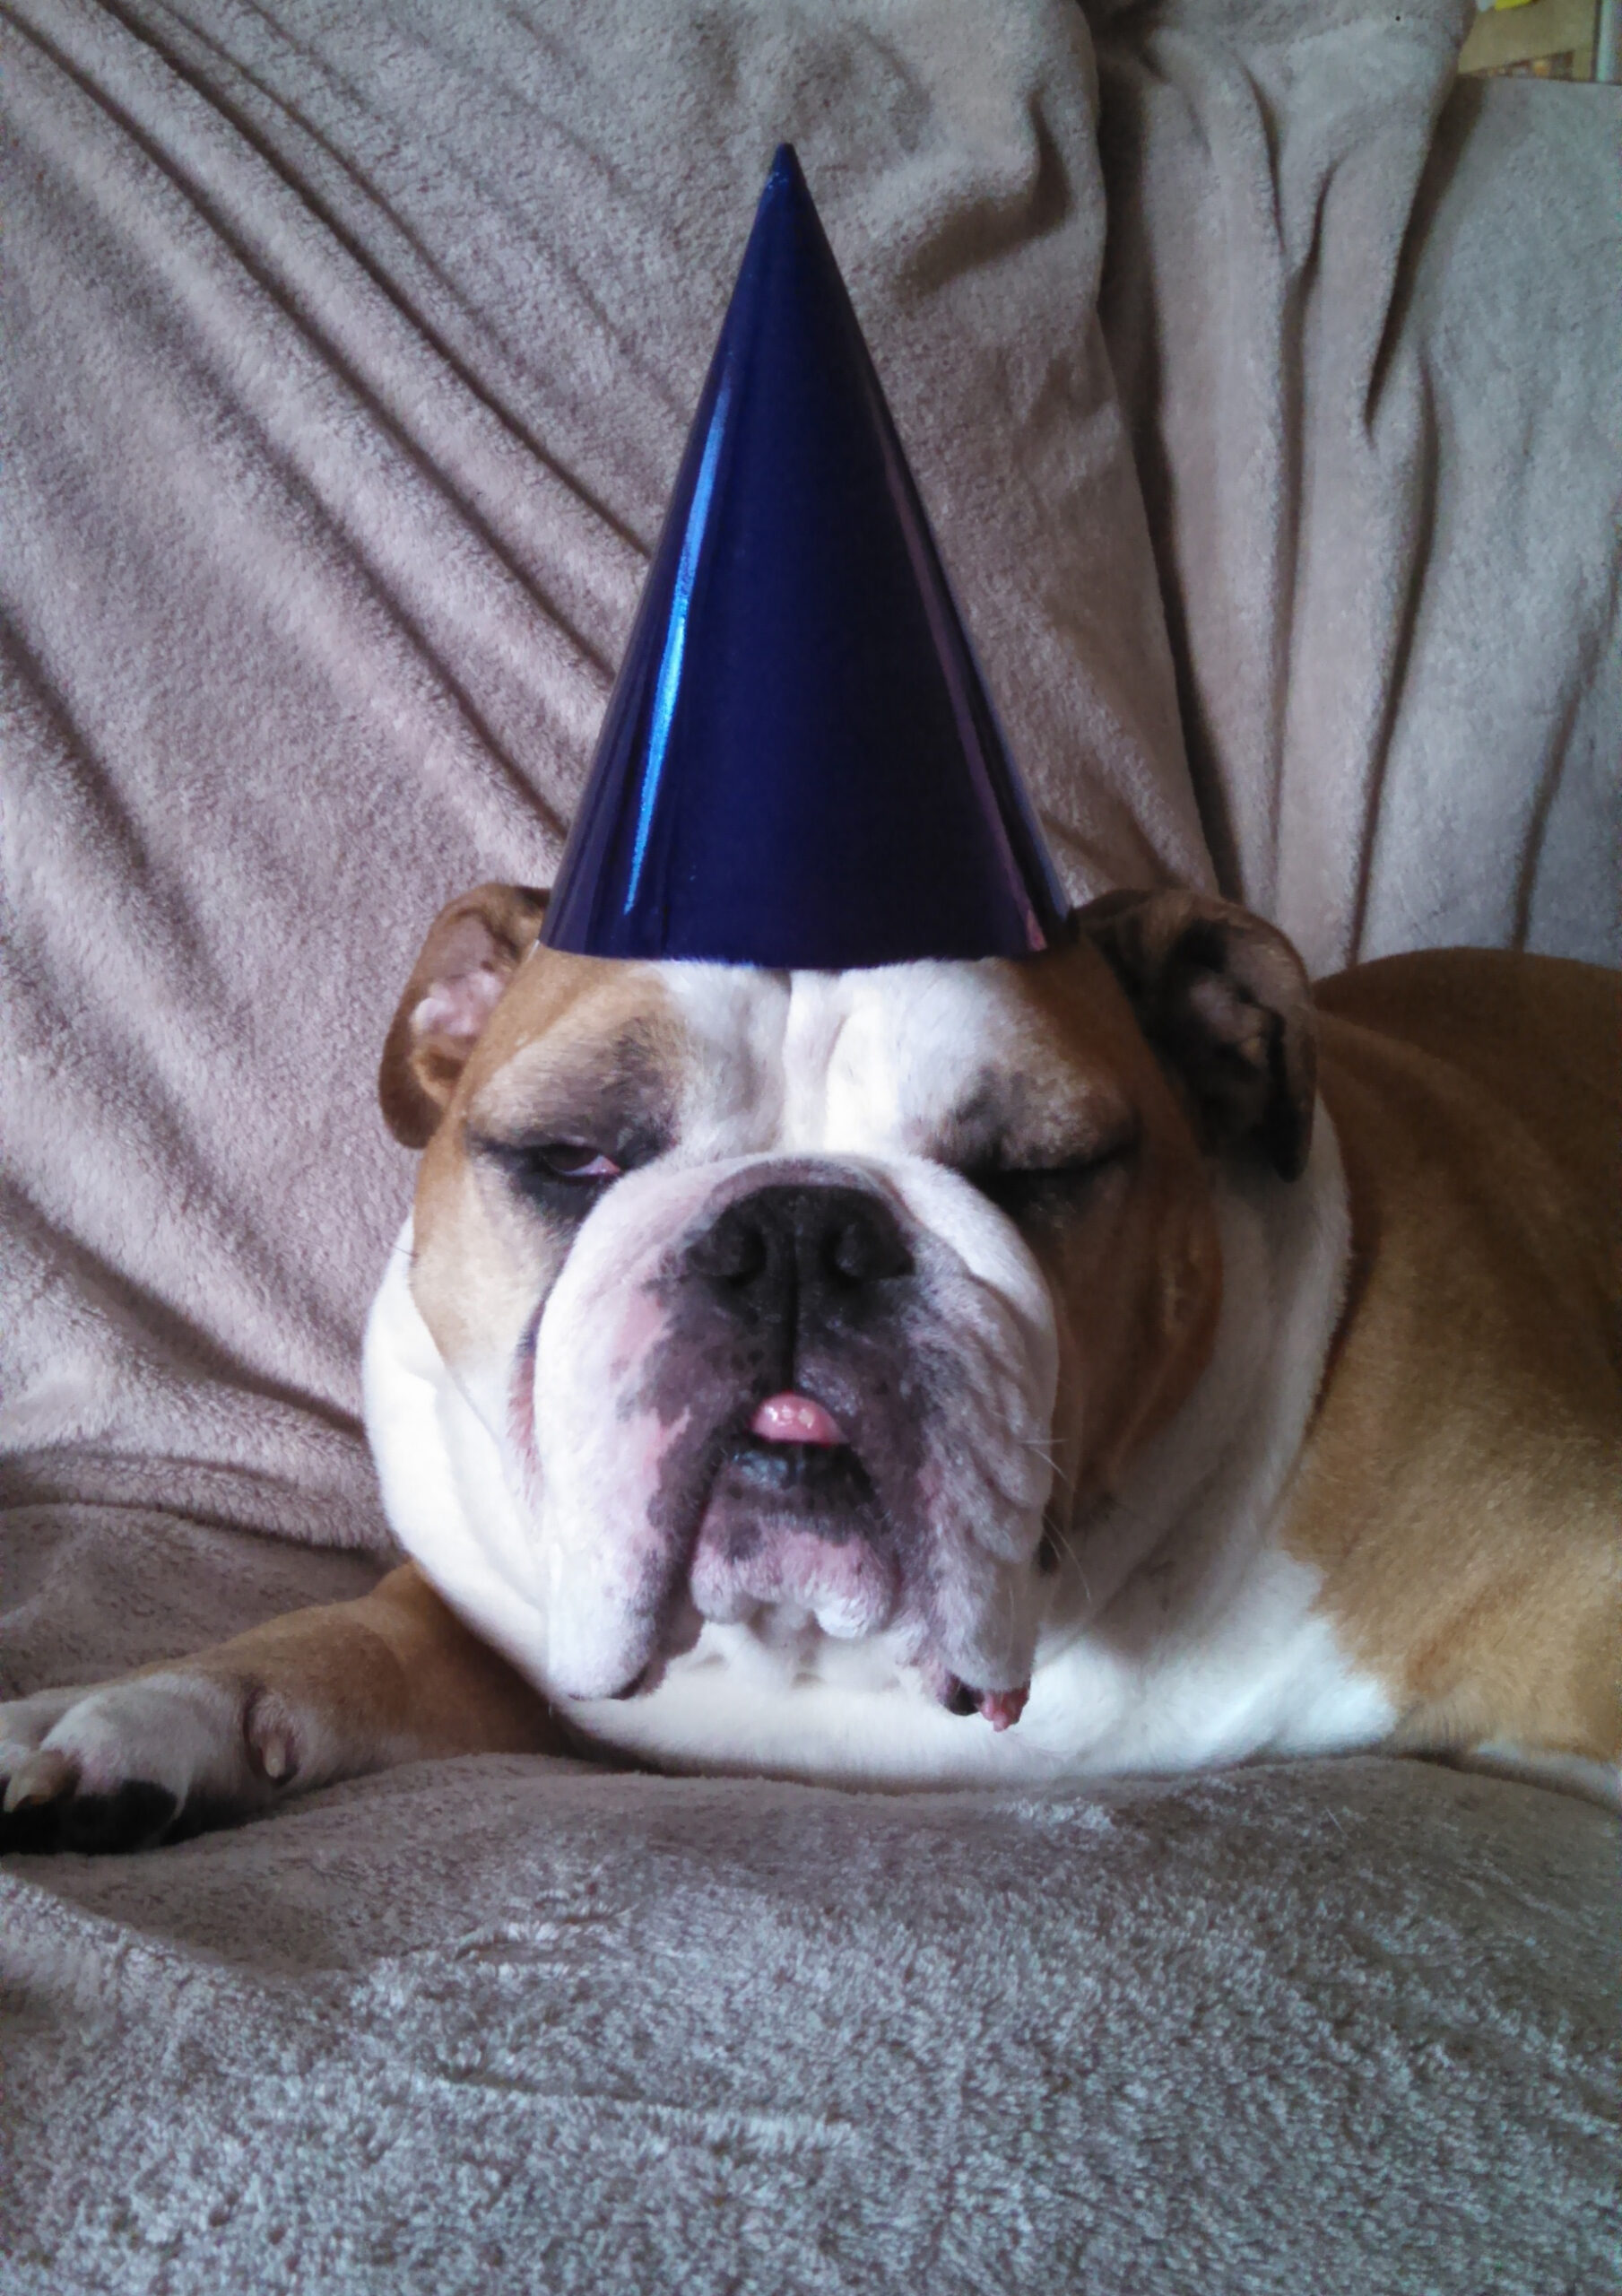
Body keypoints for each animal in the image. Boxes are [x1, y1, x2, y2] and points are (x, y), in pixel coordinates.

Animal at [2, 886, 1617, 1850]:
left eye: (1038, 1170)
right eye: (572, 1155)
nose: (796, 1231)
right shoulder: (494, 1633)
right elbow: (341, 1639)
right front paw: (134, 1716)